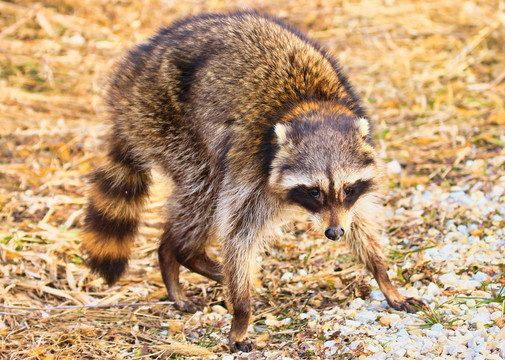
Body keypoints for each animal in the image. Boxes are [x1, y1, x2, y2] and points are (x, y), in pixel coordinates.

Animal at [81, 11, 422, 352]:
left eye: (348, 189)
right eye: (313, 192)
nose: (334, 233)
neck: (311, 106)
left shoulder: (349, 193)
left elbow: (359, 222)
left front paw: (383, 276)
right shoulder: (249, 164)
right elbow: (239, 235)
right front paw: (242, 314)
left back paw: (175, 255)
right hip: (163, 119)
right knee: (203, 186)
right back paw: (179, 253)